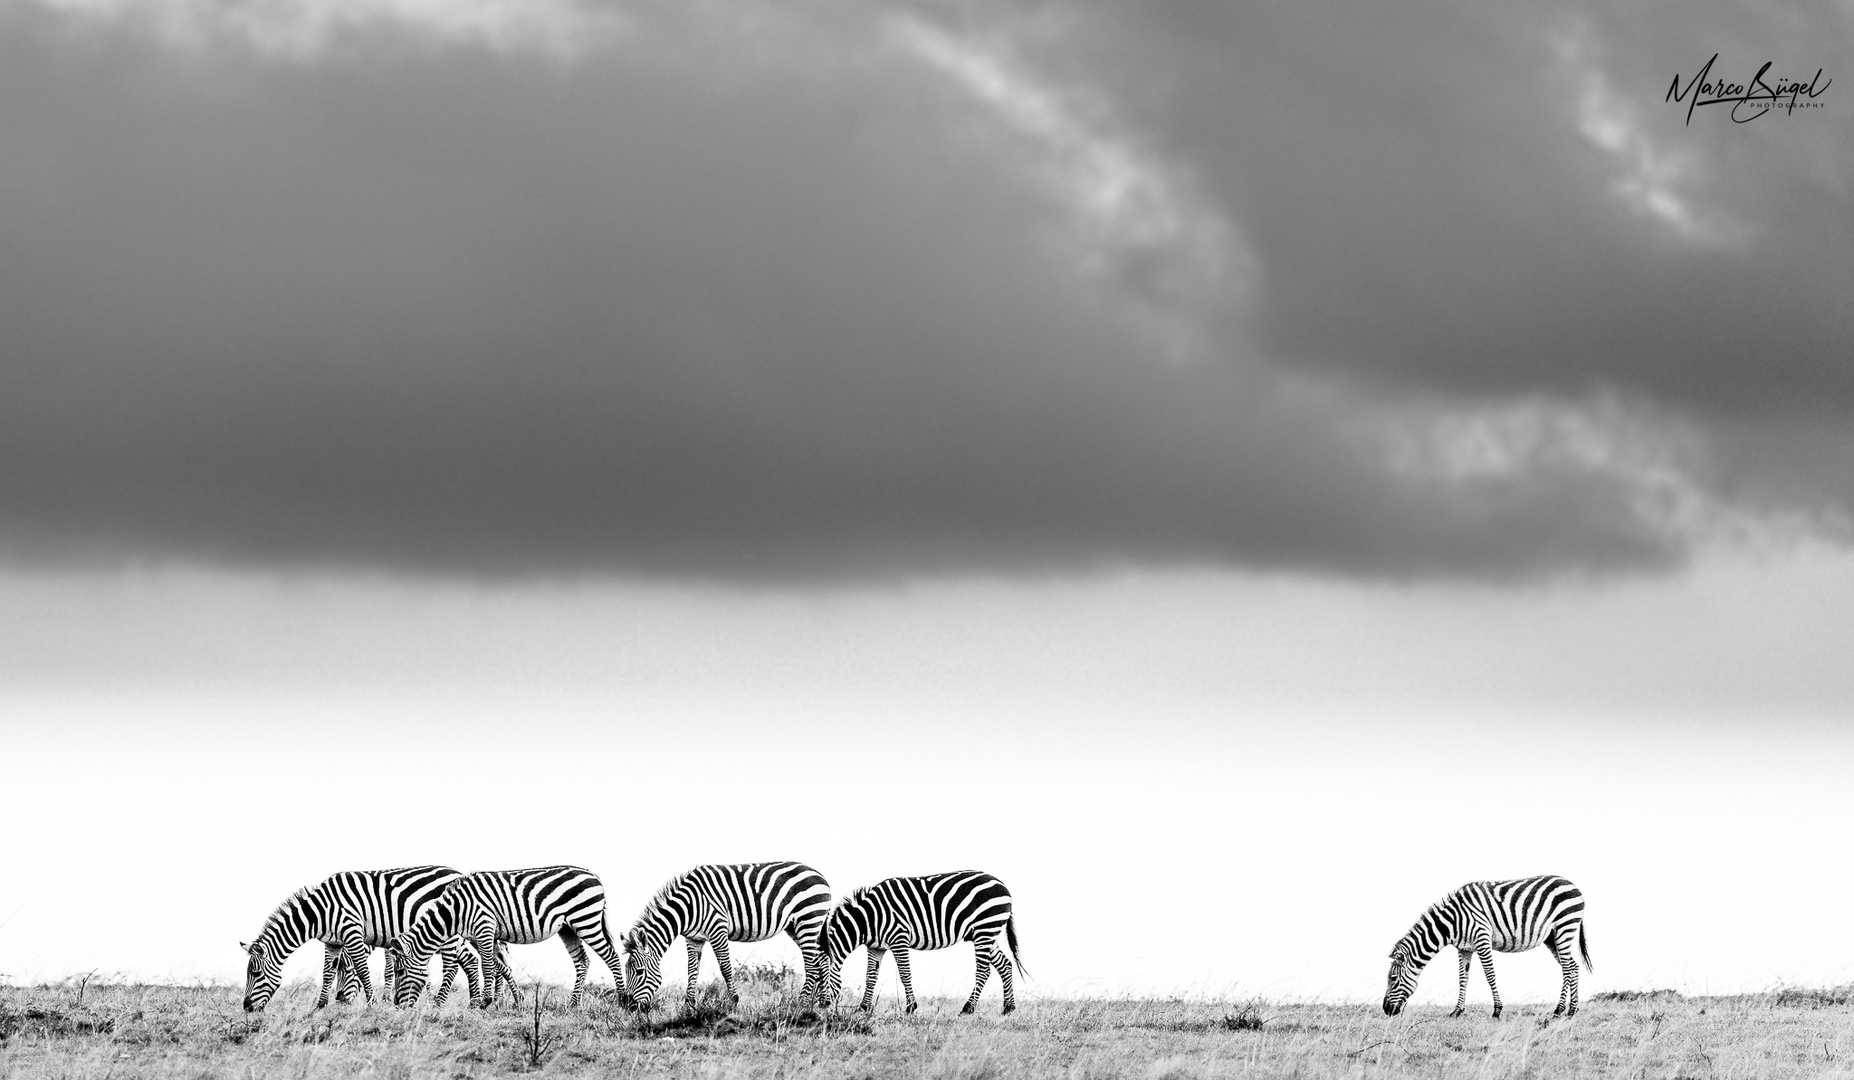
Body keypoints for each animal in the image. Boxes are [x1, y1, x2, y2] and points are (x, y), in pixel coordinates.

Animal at [242, 870, 515, 1015]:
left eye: (255, 973)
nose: (245, 1008)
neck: (320, 912)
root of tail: (457, 873)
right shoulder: (333, 943)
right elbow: (327, 973)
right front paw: (320, 1006)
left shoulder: (353, 931)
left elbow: (365, 970)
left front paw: (374, 1003)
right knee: (477, 960)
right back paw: (479, 1002)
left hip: (449, 933)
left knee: (465, 962)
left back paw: (460, 1003)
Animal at [387, 866, 626, 1007]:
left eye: (400, 971)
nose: (397, 1005)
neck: (455, 911)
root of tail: (594, 875)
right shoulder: (483, 935)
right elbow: (498, 965)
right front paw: (512, 1000)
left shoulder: (484, 926)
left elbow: (487, 966)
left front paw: (485, 1002)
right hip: (567, 928)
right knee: (582, 961)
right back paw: (574, 1003)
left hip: (585, 920)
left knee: (612, 957)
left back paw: (623, 999)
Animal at [622, 863, 834, 1015]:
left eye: (639, 972)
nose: (628, 1007)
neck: (688, 907)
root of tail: (821, 875)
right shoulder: (693, 939)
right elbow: (692, 971)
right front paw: (689, 1007)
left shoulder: (718, 929)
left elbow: (725, 968)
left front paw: (734, 1003)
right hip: (796, 926)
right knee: (822, 959)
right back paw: (824, 1003)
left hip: (808, 919)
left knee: (811, 963)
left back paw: (802, 1003)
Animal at [819, 870, 1023, 1015]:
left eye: (818, 978)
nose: (817, 1011)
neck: (869, 918)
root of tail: (1002, 885)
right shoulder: (876, 947)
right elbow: (871, 976)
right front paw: (863, 1008)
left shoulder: (899, 938)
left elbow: (904, 974)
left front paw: (910, 1007)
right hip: (987, 934)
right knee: (1005, 965)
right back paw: (1008, 1008)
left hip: (984, 929)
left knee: (983, 970)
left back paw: (968, 1008)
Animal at [1379, 874, 1594, 1015]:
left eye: (1393, 979)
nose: (1386, 1010)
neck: (1452, 921)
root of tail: (1573, 884)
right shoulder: (1464, 948)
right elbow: (1462, 978)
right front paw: (1457, 1011)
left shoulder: (1482, 939)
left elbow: (1490, 975)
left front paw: (1497, 1010)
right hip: (1552, 937)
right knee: (1573, 967)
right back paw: (1572, 1010)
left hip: (1565, 927)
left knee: (1567, 968)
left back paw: (1559, 1010)